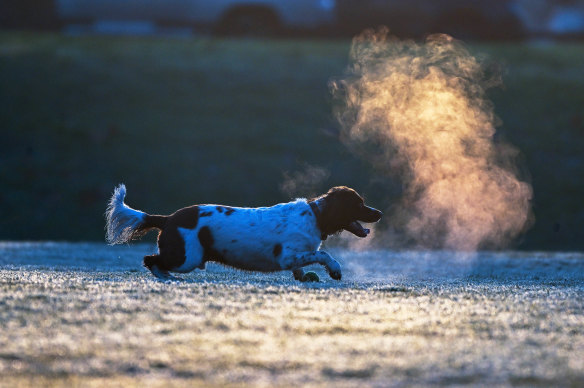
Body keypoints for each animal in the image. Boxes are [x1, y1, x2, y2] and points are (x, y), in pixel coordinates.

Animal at [105, 186, 380, 280]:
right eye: (359, 204)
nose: (378, 213)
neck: (316, 215)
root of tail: (168, 218)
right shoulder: (288, 255)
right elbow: (324, 256)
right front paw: (335, 270)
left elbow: (303, 268)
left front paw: (304, 276)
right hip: (186, 257)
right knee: (151, 260)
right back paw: (167, 277)